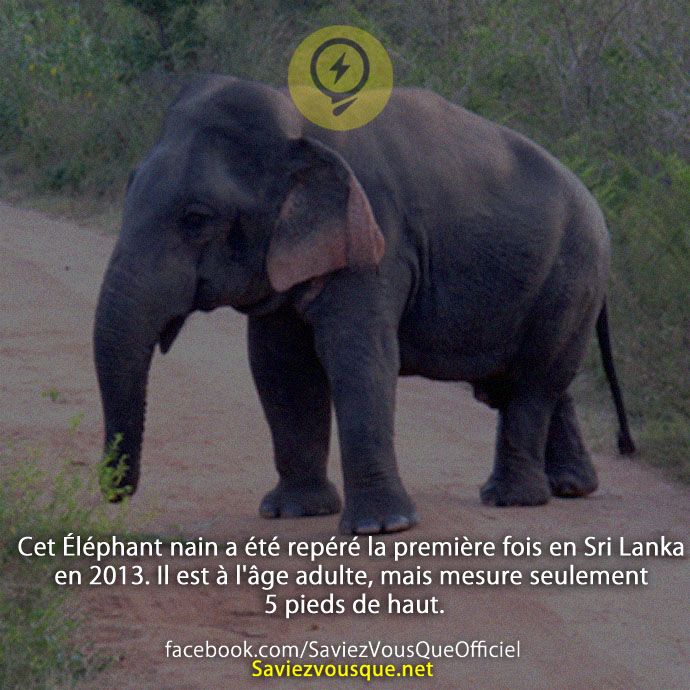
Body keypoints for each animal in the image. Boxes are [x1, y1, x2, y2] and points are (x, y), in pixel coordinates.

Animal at [94, 75, 636, 534]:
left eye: (196, 218)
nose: (115, 494)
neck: (295, 118)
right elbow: (279, 366)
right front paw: (294, 512)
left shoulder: (376, 239)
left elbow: (357, 355)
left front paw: (382, 528)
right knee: (533, 382)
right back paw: (570, 488)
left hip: (573, 275)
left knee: (530, 382)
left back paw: (513, 499)